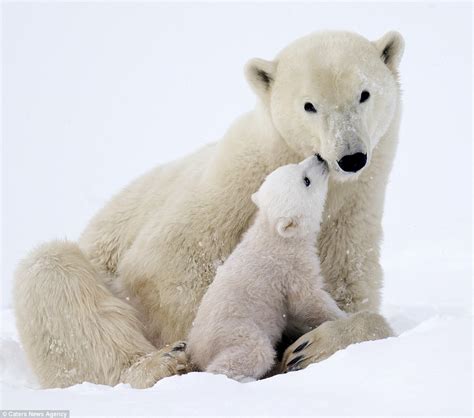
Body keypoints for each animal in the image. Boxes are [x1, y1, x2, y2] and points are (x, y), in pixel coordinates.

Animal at [16, 30, 406, 388]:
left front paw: (309, 347)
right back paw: (160, 363)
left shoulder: (349, 221)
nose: (351, 157)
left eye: (364, 94)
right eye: (309, 105)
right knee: (51, 275)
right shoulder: (228, 189)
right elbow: (166, 270)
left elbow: (351, 299)